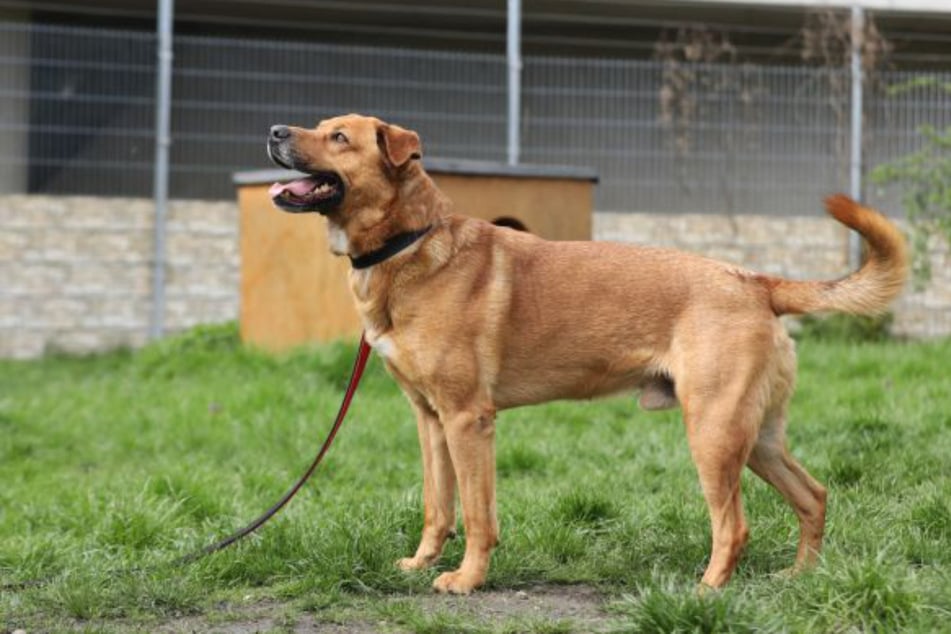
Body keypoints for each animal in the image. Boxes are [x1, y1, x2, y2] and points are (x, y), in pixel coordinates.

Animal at [266, 113, 908, 592]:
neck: (411, 242)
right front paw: (422, 563)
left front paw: (467, 579)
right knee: (814, 496)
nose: (273, 131)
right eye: (319, 126)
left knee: (735, 525)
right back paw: (801, 578)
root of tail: (754, 280)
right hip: (756, 436)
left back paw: (707, 591)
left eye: (339, 137)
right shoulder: (430, 419)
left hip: (713, 432)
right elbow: (437, 506)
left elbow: (476, 514)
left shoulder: (468, 420)